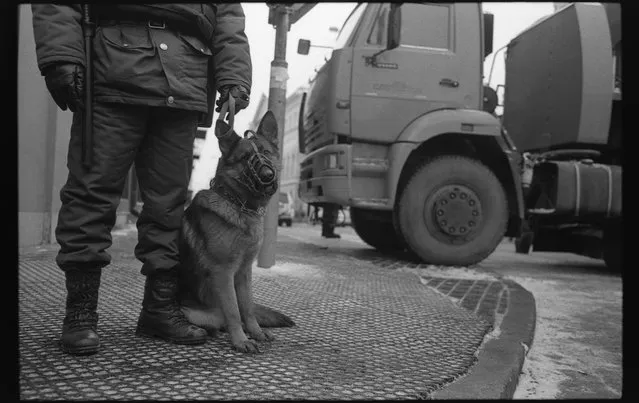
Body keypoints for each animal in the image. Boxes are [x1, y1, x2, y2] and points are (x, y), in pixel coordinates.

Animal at [178, 110, 292, 354]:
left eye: (266, 153)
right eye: (245, 157)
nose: (267, 175)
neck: (239, 206)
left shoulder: (244, 272)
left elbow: (246, 307)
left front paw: (256, 332)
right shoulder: (224, 273)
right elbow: (233, 309)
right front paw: (241, 341)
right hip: (190, 311)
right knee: (220, 320)